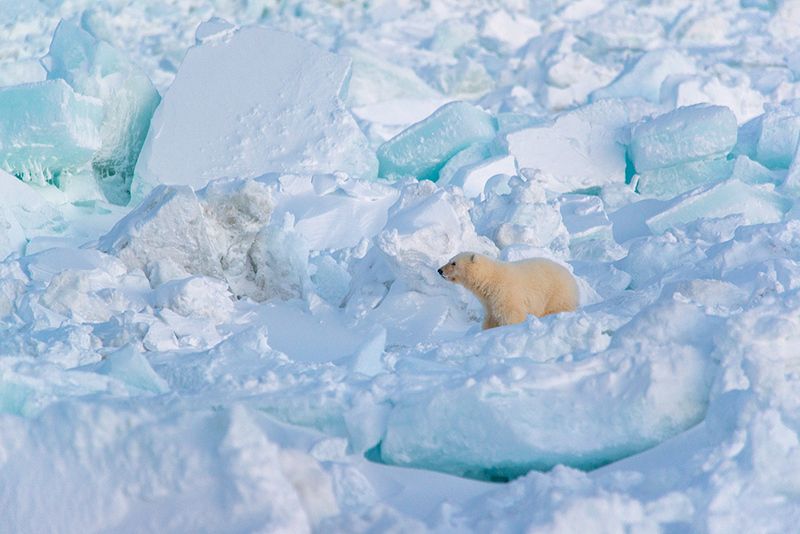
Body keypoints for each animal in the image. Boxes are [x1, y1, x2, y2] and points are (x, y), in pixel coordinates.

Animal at [438, 252, 579, 329]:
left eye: (453, 263)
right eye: (450, 260)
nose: (440, 270)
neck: (490, 280)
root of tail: (572, 279)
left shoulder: (506, 294)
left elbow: (512, 315)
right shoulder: (489, 302)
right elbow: (491, 319)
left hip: (557, 294)